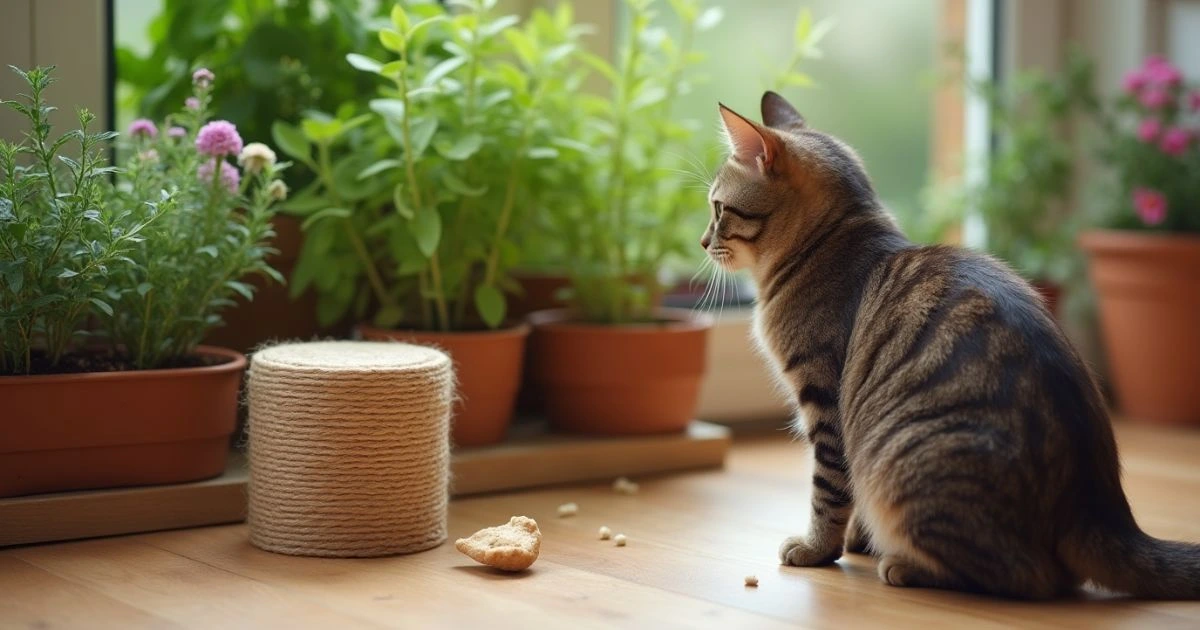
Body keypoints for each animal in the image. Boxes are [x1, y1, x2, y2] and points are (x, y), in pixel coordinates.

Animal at [700, 90, 1200, 597]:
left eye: (718, 208)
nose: (702, 241)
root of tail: (1103, 510)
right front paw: (860, 539)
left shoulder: (825, 403)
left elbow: (829, 491)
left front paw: (817, 548)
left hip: (904, 463)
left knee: (1033, 575)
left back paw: (905, 566)